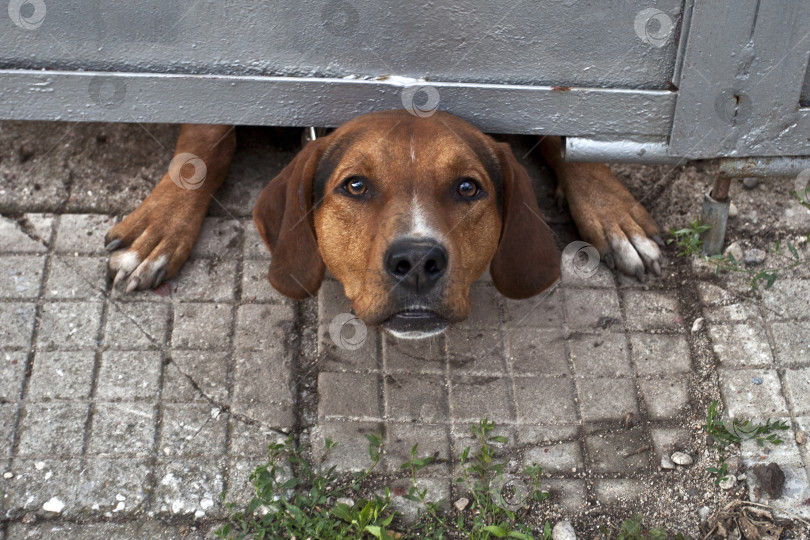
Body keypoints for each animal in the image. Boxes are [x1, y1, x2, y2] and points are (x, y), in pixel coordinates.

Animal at [105, 109, 664, 338]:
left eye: (467, 188)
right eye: (355, 186)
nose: (417, 261)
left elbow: (573, 134)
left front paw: (609, 206)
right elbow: (204, 141)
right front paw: (162, 222)